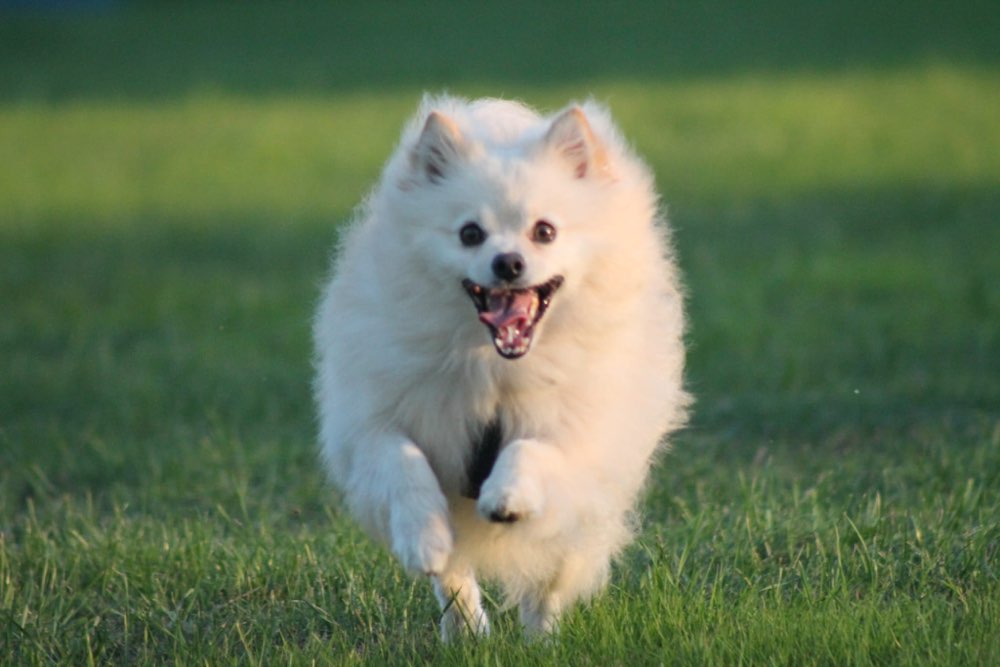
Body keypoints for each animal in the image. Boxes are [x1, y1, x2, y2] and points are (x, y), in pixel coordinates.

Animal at [314, 95, 688, 640]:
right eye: (470, 233)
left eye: (545, 231)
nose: (508, 262)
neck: (494, 366)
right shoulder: (373, 420)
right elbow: (402, 460)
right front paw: (422, 536)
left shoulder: (578, 432)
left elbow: (531, 449)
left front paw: (506, 495)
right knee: (455, 578)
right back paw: (466, 630)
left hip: (584, 514)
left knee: (549, 583)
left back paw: (540, 640)